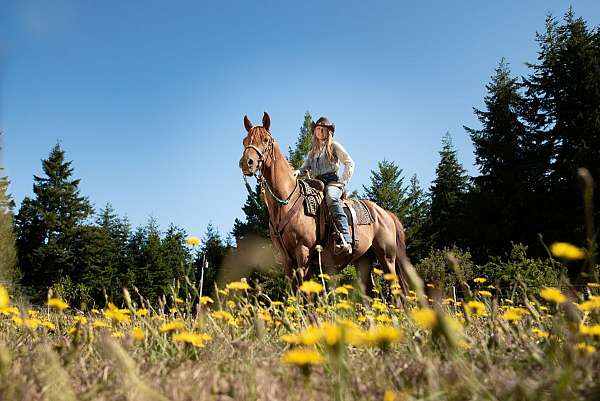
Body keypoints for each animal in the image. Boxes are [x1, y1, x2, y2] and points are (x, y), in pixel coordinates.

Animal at [239, 112, 412, 294]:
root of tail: (385, 213)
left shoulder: (303, 252)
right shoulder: (286, 260)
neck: (285, 203)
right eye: (244, 140)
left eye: (265, 139)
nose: (246, 163)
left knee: (397, 290)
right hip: (364, 260)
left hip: (387, 258)